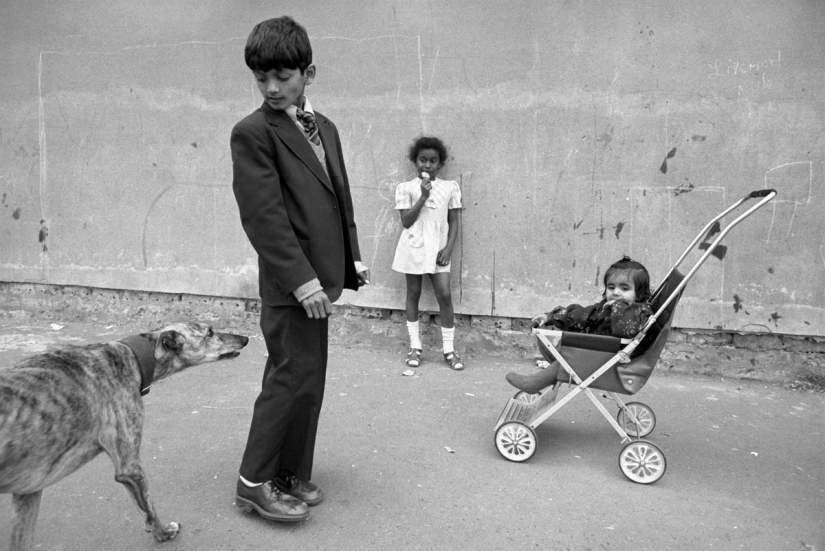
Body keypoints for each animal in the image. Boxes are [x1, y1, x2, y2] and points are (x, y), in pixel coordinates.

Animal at [0, 324, 251, 551]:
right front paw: (162, 533)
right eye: (209, 332)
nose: (246, 338)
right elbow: (149, 505)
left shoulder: (28, 492)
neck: (132, 357)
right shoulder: (130, 467)